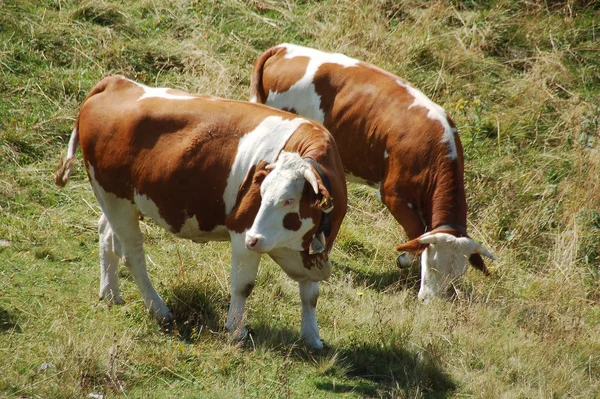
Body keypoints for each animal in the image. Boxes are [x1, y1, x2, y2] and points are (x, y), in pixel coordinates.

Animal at [57, 75, 346, 350]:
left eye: (289, 200)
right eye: (261, 194)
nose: (254, 239)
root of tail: (116, 82)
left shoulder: (317, 248)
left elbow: (310, 295)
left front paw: (312, 338)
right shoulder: (241, 229)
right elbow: (244, 286)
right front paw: (236, 330)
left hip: (118, 202)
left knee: (106, 233)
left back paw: (110, 293)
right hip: (115, 199)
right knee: (132, 255)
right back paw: (160, 310)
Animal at [251, 43, 494, 302]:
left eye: (457, 274)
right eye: (432, 265)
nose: (431, 302)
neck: (434, 148)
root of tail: (284, 48)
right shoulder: (392, 194)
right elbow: (416, 232)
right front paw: (404, 258)